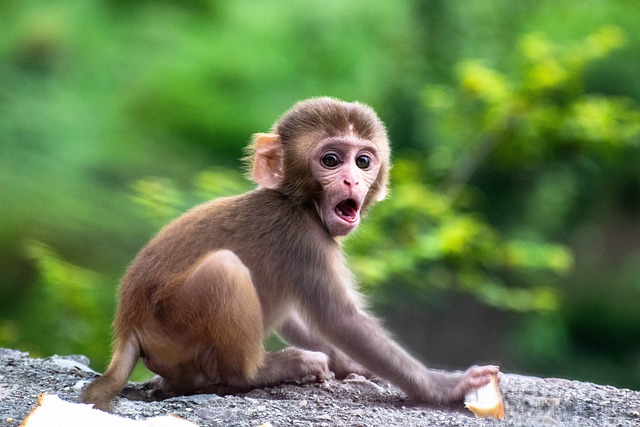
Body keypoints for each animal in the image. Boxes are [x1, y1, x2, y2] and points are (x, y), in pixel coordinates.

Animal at [81, 96, 500, 412]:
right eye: (331, 160)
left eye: (363, 161)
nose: (352, 180)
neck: (298, 202)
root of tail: (129, 326)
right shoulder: (304, 238)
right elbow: (339, 319)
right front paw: (443, 386)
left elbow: (301, 317)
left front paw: (348, 364)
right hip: (174, 325)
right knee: (225, 269)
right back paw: (263, 372)